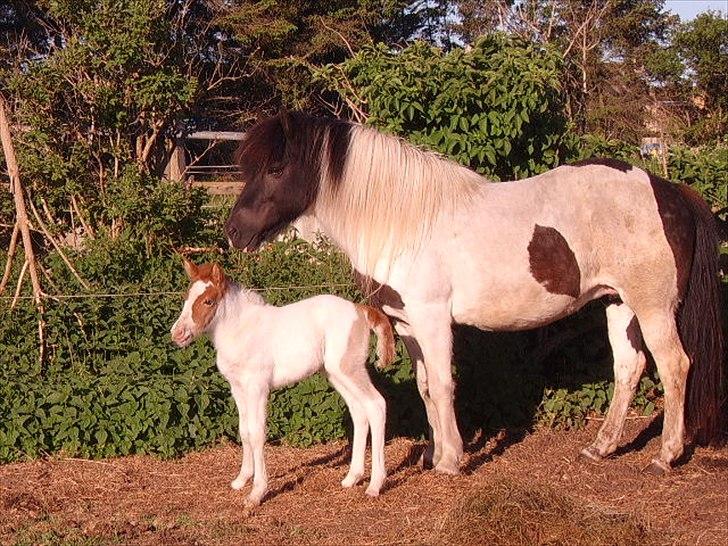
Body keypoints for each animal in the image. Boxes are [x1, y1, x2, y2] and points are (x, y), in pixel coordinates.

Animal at [170, 258, 392, 504]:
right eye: (186, 297)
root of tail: (360, 310)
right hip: (336, 374)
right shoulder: (237, 388)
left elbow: (257, 433)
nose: (177, 334)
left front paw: (256, 492)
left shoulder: (257, 387)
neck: (240, 330)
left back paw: (375, 485)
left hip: (349, 369)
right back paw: (352, 477)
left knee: (376, 405)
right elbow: (243, 430)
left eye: (208, 301)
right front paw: (241, 480)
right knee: (359, 412)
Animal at [225, 109, 724, 472]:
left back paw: (666, 455)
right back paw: (601, 447)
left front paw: (451, 459)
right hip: (619, 303)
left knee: (675, 366)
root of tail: (666, 189)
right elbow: (426, 386)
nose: (234, 232)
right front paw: (431, 453)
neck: (405, 224)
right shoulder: (408, 324)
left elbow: (445, 384)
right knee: (629, 368)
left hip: (654, 306)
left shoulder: (432, 318)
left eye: (276, 167)